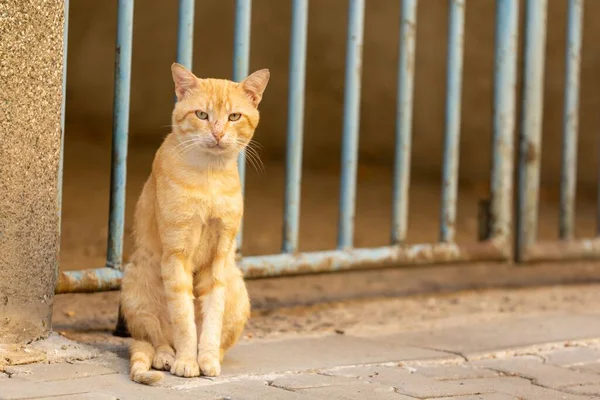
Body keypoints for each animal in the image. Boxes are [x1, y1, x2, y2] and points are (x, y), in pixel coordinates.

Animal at [120, 62, 270, 384]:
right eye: (202, 115)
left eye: (234, 116)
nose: (217, 133)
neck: (209, 177)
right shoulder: (176, 255)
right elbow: (183, 319)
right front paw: (187, 362)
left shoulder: (219, 259)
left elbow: (211, 322)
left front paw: (206, 360)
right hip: (137, 283)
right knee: (155, 339)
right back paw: (167, 357)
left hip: (238, 289)